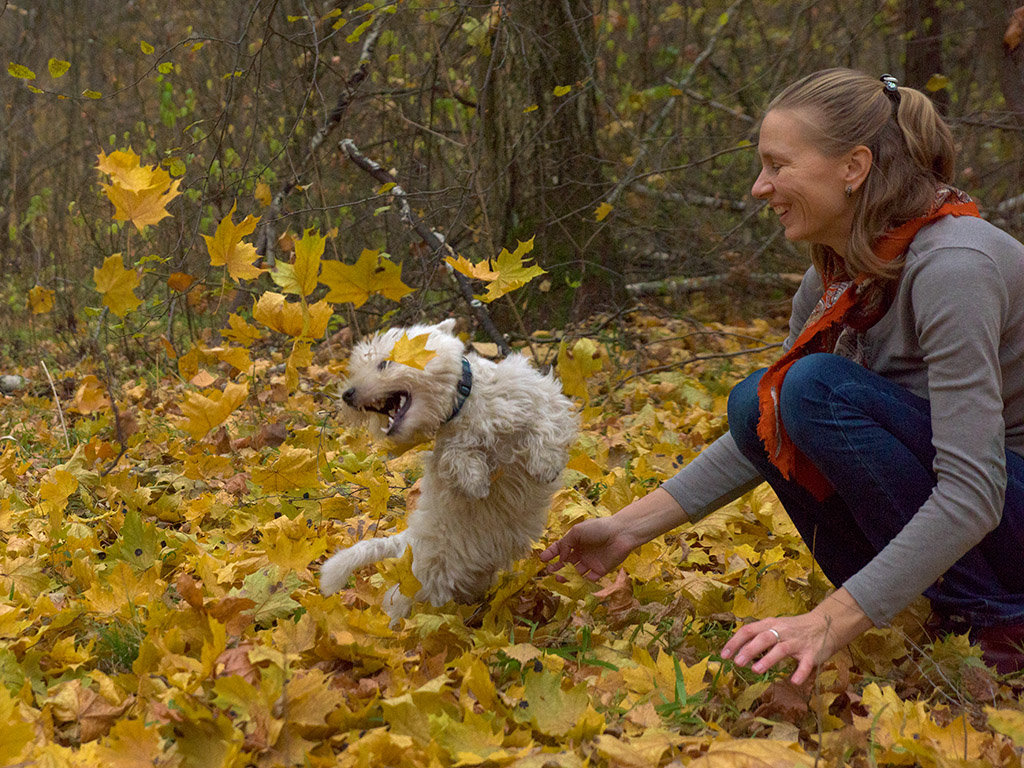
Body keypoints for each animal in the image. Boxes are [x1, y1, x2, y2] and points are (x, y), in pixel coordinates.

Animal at [319, 319, 577, 626]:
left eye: (384, 363)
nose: (347, 395)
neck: (463, 402)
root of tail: (406, 540)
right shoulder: (447, 452)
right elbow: (456, 458)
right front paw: (477, 482)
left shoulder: (539, 398)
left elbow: (545, 424)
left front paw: (544, 464)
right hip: (424, 575)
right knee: (397, 601)